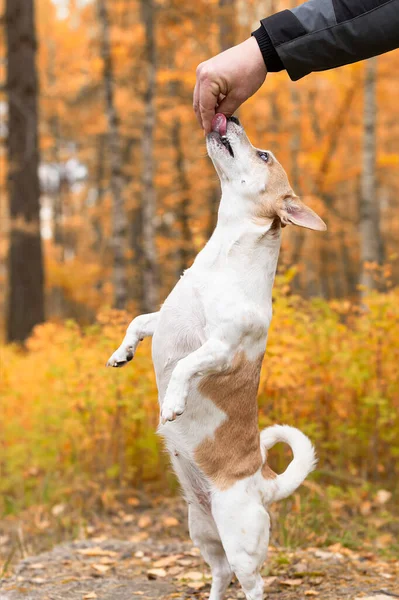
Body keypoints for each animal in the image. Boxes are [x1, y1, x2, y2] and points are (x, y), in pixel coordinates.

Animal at [108, 116, 326, 600]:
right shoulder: (163, 320)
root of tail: (264, 481)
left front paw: (173, 403)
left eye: (264, 155)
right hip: (201, 529)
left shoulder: (222, 348)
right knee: (219, 571)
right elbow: (138, 321)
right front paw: (121, 353)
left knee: (254, 582)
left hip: (240, 537)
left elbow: (186, 367)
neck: (223, 258)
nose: (235, 117)